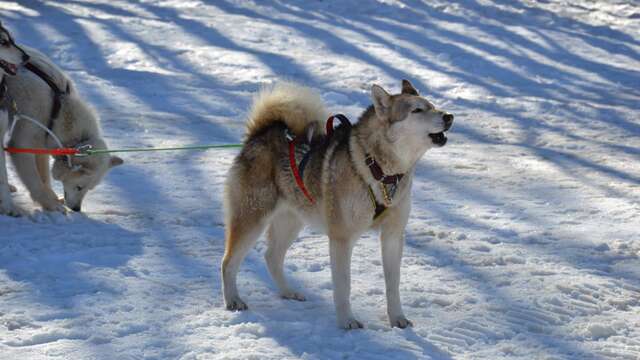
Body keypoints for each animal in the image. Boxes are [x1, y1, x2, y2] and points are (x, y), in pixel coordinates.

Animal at [3, 38, 124, 212]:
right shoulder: (21, 143)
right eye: (80, 187)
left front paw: (52, 196)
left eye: (90, 189)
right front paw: (50, 203)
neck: (57, 108)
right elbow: (35, 181)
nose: (77, 209)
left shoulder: (41, 141)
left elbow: (44, 177)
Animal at [222, 81, 452, 330]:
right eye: (417, 110)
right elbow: (343, 285)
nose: (449, 116)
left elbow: (393, 284)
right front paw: (347, 321)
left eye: (432, 106)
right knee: (228, 262)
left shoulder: (393, 236)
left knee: (271, 257)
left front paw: (397, 317)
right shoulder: (341, 238)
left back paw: (288, 292)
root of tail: (259, 134)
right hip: (252, 219)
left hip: (291, 221)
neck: (378, 170)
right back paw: (233, 300)